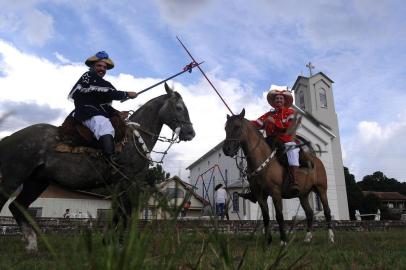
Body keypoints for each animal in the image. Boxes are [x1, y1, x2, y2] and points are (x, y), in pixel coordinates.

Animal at [0, 84, 195, 251]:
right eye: (179, 107)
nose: (190, 133)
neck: (133, 139)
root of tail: (9, 137)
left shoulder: (125, 183)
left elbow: (120, 211)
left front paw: (109, 241)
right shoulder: (127, 181)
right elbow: (123, 212)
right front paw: (117, 243)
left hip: (37, 181)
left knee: (17, 206)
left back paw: (31, 244)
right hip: (13, 178)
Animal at [222, 108, 334, 246]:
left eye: (237, 126)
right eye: (225, 128)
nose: (226, 149)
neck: (261, 159)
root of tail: (316, 160)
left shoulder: (275, 193)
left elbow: (279, 216)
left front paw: (283, 241)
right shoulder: (260, 195)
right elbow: (266, 217)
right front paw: (267, 241)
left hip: (321, 190)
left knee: (327, 211)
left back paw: (330, 237)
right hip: (303, 194)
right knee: (309, 213)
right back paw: (307, 237)